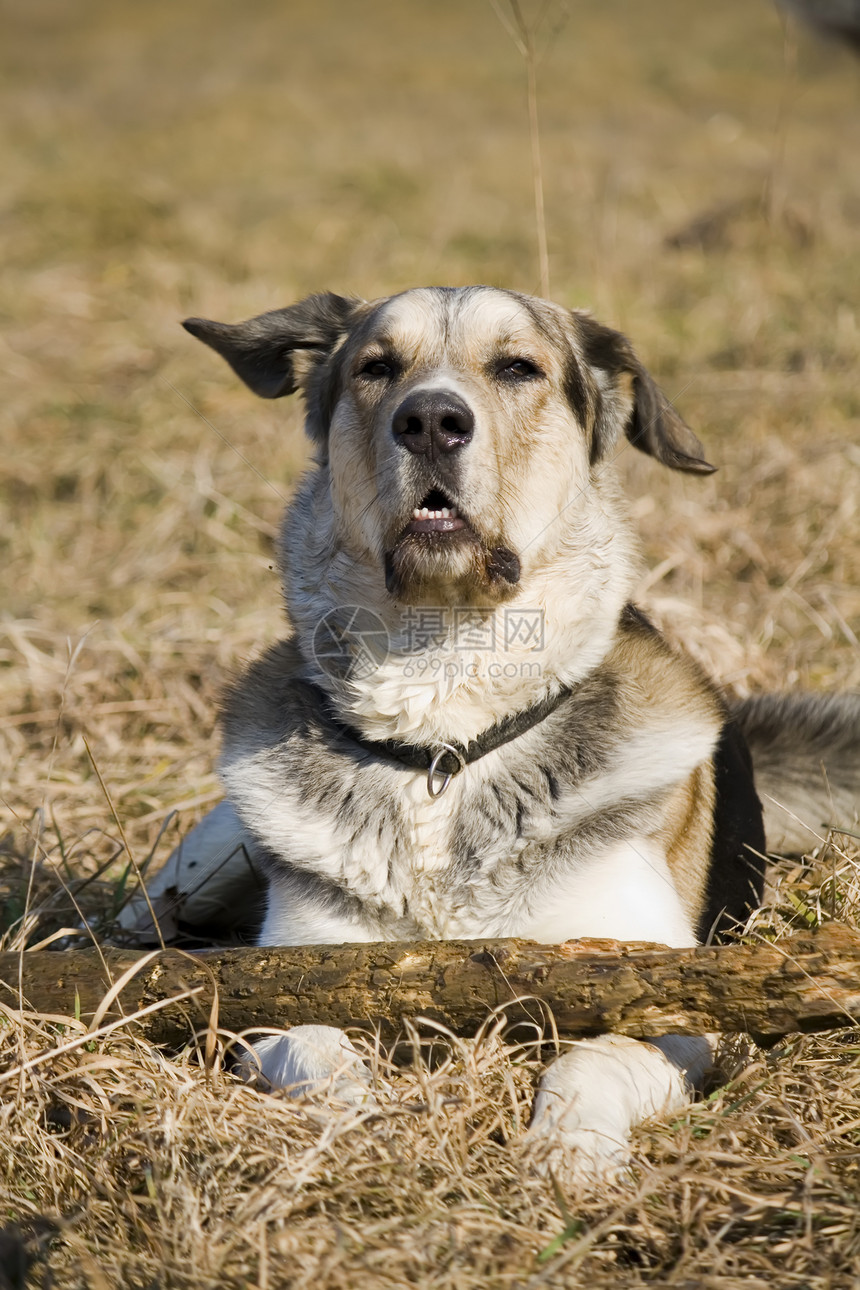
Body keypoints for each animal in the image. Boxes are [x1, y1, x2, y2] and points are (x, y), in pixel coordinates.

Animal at [137, 287, 856, 1181]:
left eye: (518, 368)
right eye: (377, 368)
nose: (430, 422)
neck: (445, 730)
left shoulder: (667, 1000)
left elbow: (592, 1058)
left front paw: (567, 1155)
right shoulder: (288, 989)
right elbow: (317, 1047)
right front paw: (356, 1125)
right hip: (206, 860)